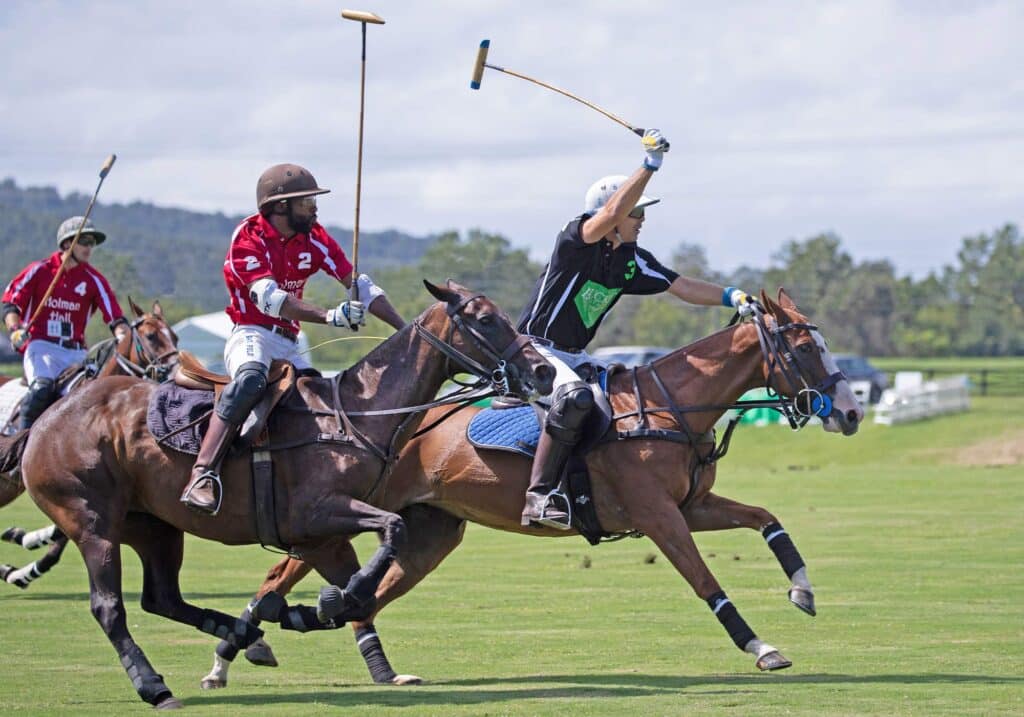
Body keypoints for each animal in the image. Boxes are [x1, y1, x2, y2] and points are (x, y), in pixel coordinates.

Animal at [0, 299, 180, 585]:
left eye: (174, 336)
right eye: (151, 336)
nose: (176, 370)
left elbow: (58, 542)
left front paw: (24, 550)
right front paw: (23, 560)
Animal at [201, 286, 864, 688]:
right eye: (805, 347)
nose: (853, 412)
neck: (670, 406)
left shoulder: (692, 504)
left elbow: (767, 517)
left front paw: (802, 590)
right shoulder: (659, 515)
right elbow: (706, 581)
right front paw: (761, 647)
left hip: (432, 531)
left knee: (365, 590)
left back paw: (298, 623)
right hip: (341, 509)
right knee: (285, 569)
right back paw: (237, 650)